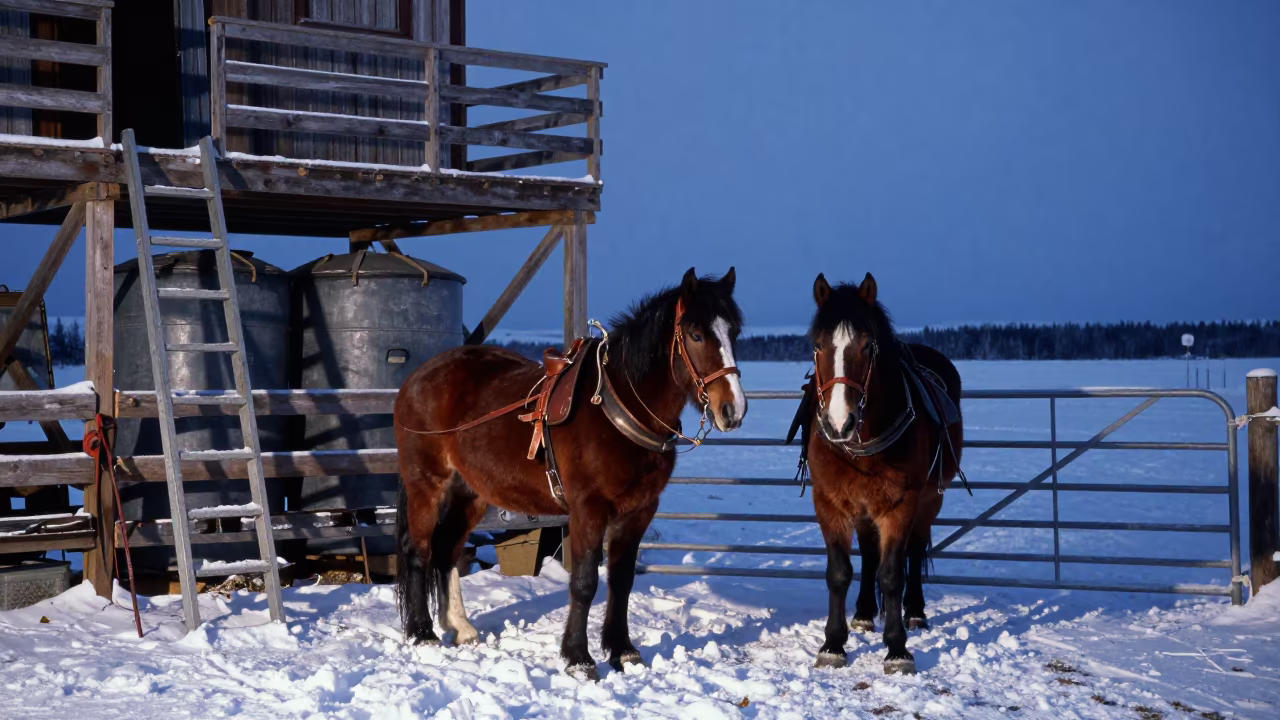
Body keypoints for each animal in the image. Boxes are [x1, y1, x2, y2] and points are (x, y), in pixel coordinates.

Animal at [394, 267, 746, 680]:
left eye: (733, 331)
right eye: (695, 334)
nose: (733, 410)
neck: (616, 410)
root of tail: (418, 377)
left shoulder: (639, 510)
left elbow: (621, 580)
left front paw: (622, 650)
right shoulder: (588, 509)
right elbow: (584, 582)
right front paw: (579, 657)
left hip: (471, 493)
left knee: (447, 550)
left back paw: (459, 626)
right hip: (427, 485)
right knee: (419, 550)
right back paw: (422, 633)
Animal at [788, 272, 964, 675]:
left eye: (868, 346)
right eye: (818, 346)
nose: (839, 423)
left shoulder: (900, 506)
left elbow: (892, 573)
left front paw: (897, 648)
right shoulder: (830, 503)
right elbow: (840, 572)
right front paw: (833, 644)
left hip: (930, 500)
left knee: (915, 550)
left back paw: (915, 611)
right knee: (869, 553)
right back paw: (865, 613)